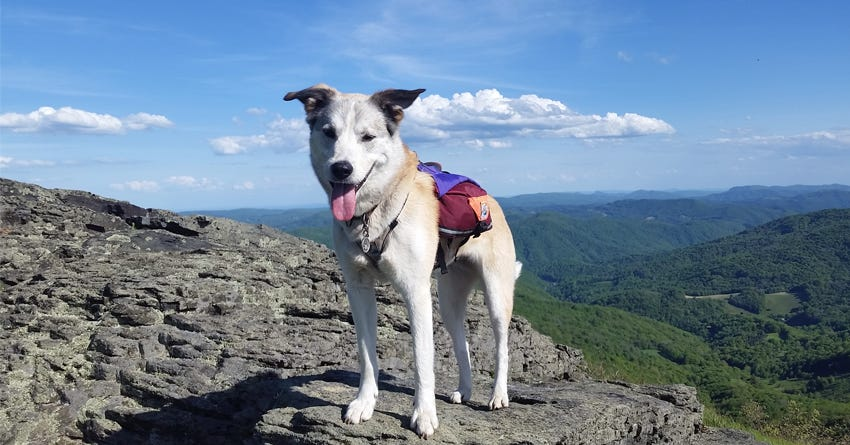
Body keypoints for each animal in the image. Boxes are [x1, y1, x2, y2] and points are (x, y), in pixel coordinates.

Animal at [284, 84, 516, 438]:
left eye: (368, 136)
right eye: (328, 132)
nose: (341, 168)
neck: (373, 212)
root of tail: (490, 200)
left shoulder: (415, 292)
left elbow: (422, 360)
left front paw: (423, 414)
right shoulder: (358, 291)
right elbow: (367, 355)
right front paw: (364, 403)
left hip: (496, 293)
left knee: (501, 345)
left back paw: (498, 395)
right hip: (448, 300)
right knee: (462, 344)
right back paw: (465, 390)